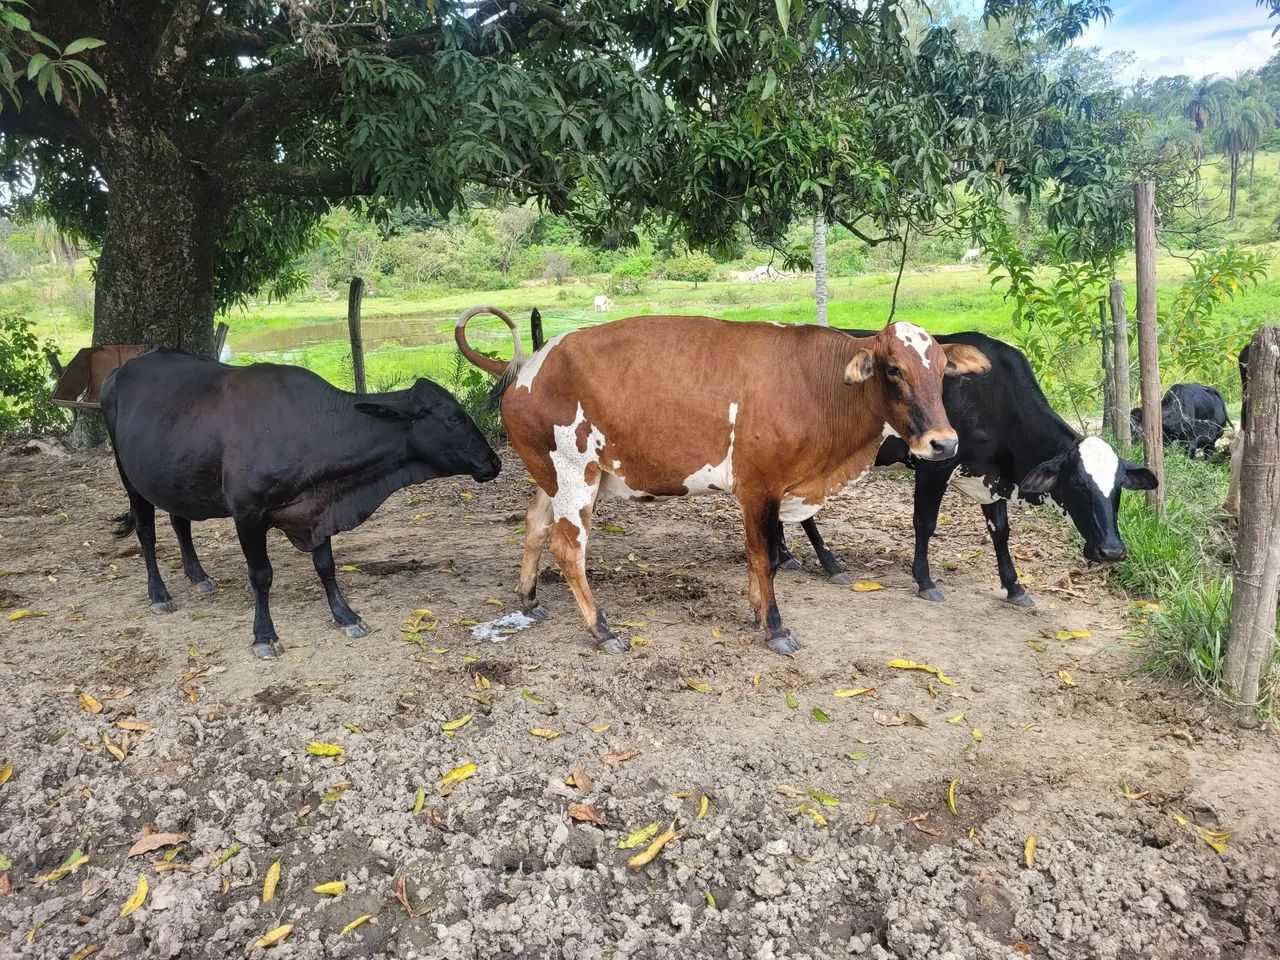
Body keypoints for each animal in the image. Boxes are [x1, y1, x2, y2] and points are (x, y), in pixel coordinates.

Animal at [102, 349, 501, 659]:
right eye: (454, 418)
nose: (493, 461)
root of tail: (121, 369)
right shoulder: (247, 512)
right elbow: (261, 574)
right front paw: (264, 635)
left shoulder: (316, 510)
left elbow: (326, 566)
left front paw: (346, 616)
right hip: (129, 476)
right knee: (146, 532)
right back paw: (159, 593)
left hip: (173, 478)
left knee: (180, 522)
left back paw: (198, 576)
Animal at [455, 306, 990, 655]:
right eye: (894, 369)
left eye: (942, 371)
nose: (943, 443)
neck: (818, 384)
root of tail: (527, 364)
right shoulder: (759, 488)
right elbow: (765, 558)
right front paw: (774, 627)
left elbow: (759, 558)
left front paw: (757, 611)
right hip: (574, 475)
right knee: (568, 547)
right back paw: (601, 629)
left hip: (559, 478)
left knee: (534, 525)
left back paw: (528, 600)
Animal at [778, 331, 1158, 605]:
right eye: (1077, 482)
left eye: (1119, 486)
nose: (1111, 551)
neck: (993, 394)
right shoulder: (935, 464)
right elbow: (925, 523)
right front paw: (925, 580)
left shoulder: (992, 478)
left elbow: (1000, 531)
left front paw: (1014, 587)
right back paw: (828, 564)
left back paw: (786, 556)